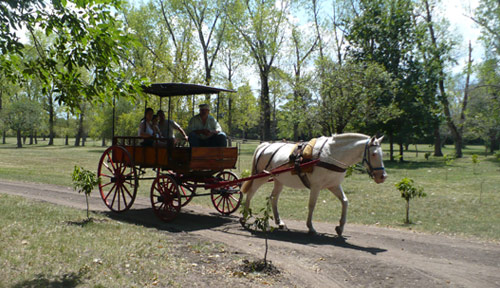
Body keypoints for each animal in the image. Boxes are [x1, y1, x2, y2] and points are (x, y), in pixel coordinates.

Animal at [241, 133, 386, 236]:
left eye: (382, 154)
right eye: (374, 154)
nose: (382, 177)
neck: (330, 155)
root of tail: (264, 145)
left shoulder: (333, 185)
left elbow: (345, 201)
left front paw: (340, 227)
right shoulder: (316, 186)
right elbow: (312, 205)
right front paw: (311, 227)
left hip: (279, 181)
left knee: (273, 198)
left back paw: (279, 221)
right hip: (261, 177)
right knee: (250, 194)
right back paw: (244, 217)